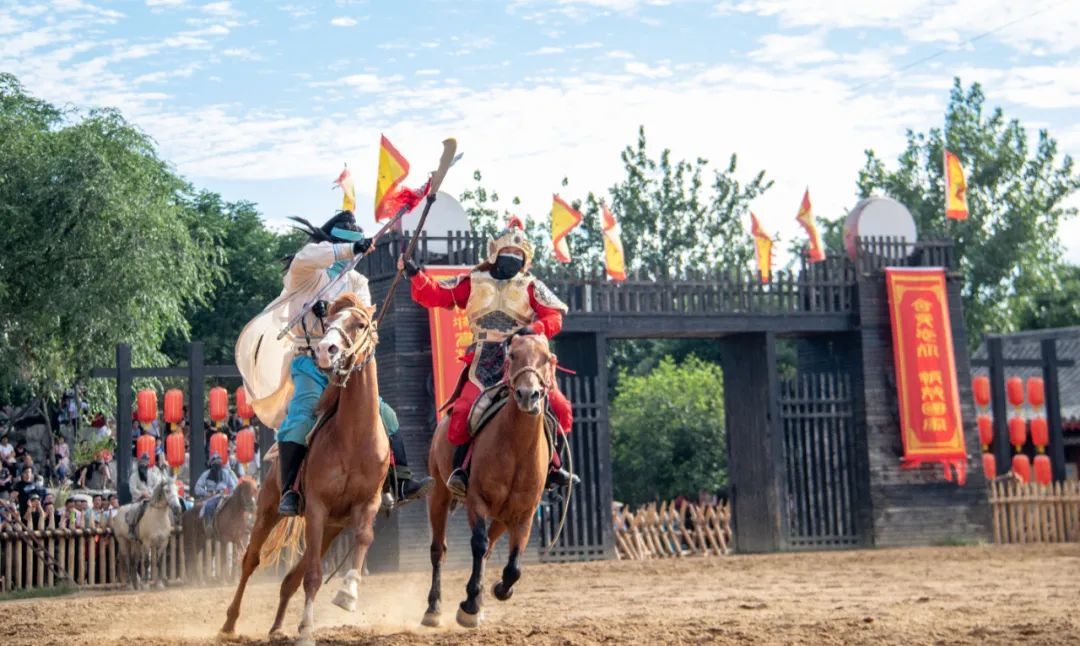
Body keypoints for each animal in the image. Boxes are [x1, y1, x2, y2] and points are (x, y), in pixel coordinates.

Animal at [220, 293, 390, 645]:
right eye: (331, 320)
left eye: (360, 324)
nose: (327, 350)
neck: (354, 436)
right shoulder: (316, 507)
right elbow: (313, 575)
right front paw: (308, 630)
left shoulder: (367, 503)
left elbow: (364, 538)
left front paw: (348, 593)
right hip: (270, 510)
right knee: (251, 560)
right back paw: (230, 622)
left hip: (332, 527)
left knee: (290, 578)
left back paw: (277, 627)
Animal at [423, 332, 557, 628]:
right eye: (513, 355)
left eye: (547, 358)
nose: (528, 395)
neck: (516, 449)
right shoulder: (477, 501)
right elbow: (478, 544)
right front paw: (470, 605)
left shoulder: (524, 513)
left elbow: (514, 566)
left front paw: (498, 590)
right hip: (439, 493)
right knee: (439, 550)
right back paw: (433, 608)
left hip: (502, 516)